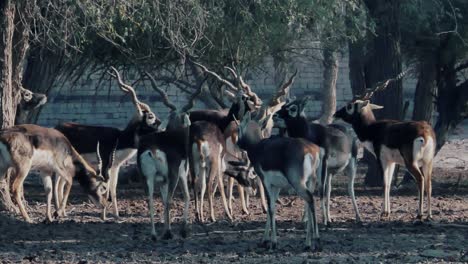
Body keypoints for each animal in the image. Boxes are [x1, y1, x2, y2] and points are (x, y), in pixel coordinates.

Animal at [55, 66, 162, 221]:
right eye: (150, 116)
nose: (160, 125)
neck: (119, 139)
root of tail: (57, 128)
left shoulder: (116, 166)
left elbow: (113, 188)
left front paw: (116, 215)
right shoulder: (105, 163)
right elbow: (105, 187)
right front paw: (103, 215)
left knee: (60, 183)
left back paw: (62, 212)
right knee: (57, 182)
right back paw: (59, 211)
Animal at [236, 112, 324, 252]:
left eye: (239, 127)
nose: (238, 143)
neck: (258, 147)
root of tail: (312, 150)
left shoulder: (265, 182)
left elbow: (271, 209)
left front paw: (273, 242)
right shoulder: (276, 186)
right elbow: (270, 209)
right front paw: (264, 240)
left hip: (298, 183)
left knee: (310, 200)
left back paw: (317, 241)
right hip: (311, 181)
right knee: (309, 204)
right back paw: (307, 244)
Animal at [272, 97, 360, 225]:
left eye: (293, 108)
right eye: (283, 106)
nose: (274, 116)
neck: (310, 135)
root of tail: (348, 130)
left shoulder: (323, 162)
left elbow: (320, 191)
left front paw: (323, 220)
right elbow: (310, 191)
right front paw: (305, 218)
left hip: (351, 165)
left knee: (350, 189)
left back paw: (357, 217)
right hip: (329, 172)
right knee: (329, 190)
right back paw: (329, 217)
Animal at [334, 86, 436, 221]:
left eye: (349, 106)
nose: (336, 114)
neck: (372, 129)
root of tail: (425, 132)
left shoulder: (381, 159)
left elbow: (384, 183)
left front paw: (384, 212)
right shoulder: (391, 162)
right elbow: (388, 184)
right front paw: (387, 212)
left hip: (411, 163)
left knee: (420, 179)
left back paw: (419, 214)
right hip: (428, 162)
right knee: (429, 183)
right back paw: (429, 215)